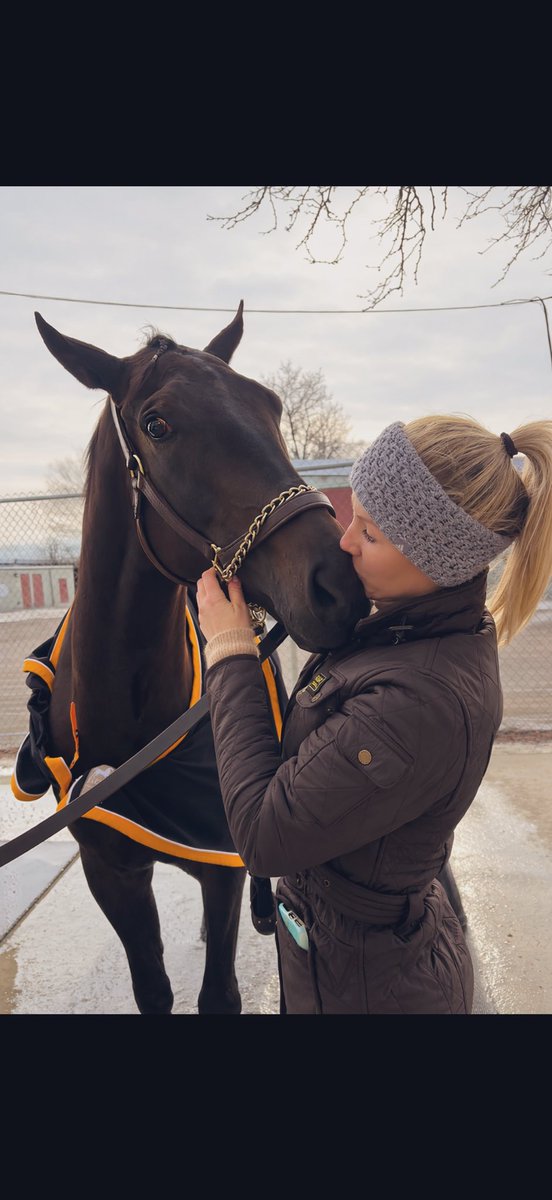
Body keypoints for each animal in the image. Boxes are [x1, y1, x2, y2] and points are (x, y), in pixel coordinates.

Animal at [22, 302, 367, 1015]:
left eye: (271, 405)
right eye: (158, 424)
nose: (338, 581)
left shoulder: (219, 865)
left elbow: (220, 995)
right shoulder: (110, 871)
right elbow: (154, 990)